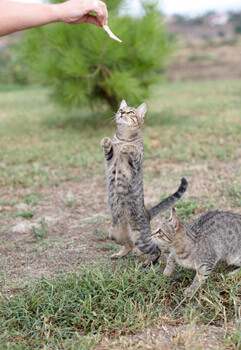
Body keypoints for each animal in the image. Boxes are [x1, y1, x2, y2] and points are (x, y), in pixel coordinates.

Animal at [100, 100, 187, 264]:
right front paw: (106, 141)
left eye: (131, 112)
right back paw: (119, 254)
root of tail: (147, 213)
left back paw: (147, 262)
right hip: (114, 234)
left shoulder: (135, 163)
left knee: (156, 250)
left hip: (141, 237)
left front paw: (128, 147)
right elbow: (110, 149)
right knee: (129, 245)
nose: (122, 113)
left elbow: (134, 150)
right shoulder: (110, 159)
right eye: (121, 110)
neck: (124, 137)